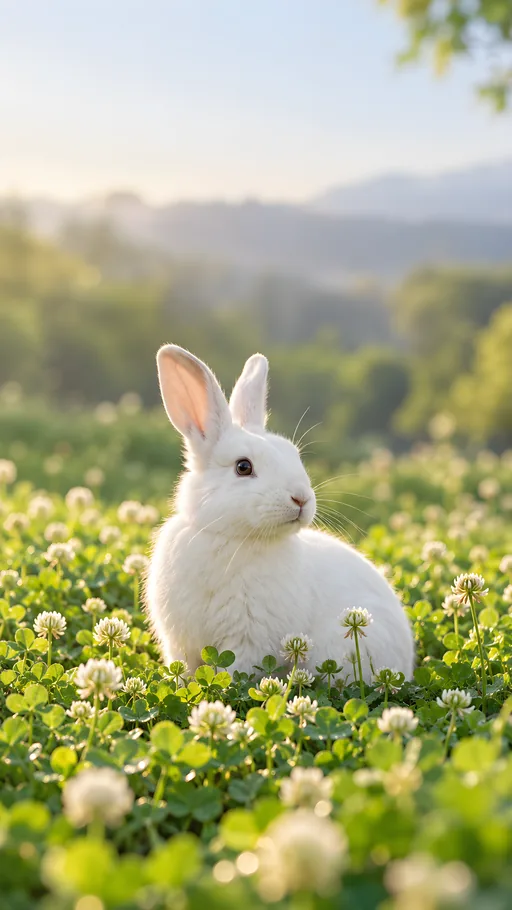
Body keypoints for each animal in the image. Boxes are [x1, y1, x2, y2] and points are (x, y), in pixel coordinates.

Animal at [145, 344, 414, 681]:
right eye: (243, 467)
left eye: (294, 455)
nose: (302, 498)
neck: (229, 536)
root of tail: (407, 665)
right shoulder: (180, 644)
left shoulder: (248, 640)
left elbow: (234, 674)